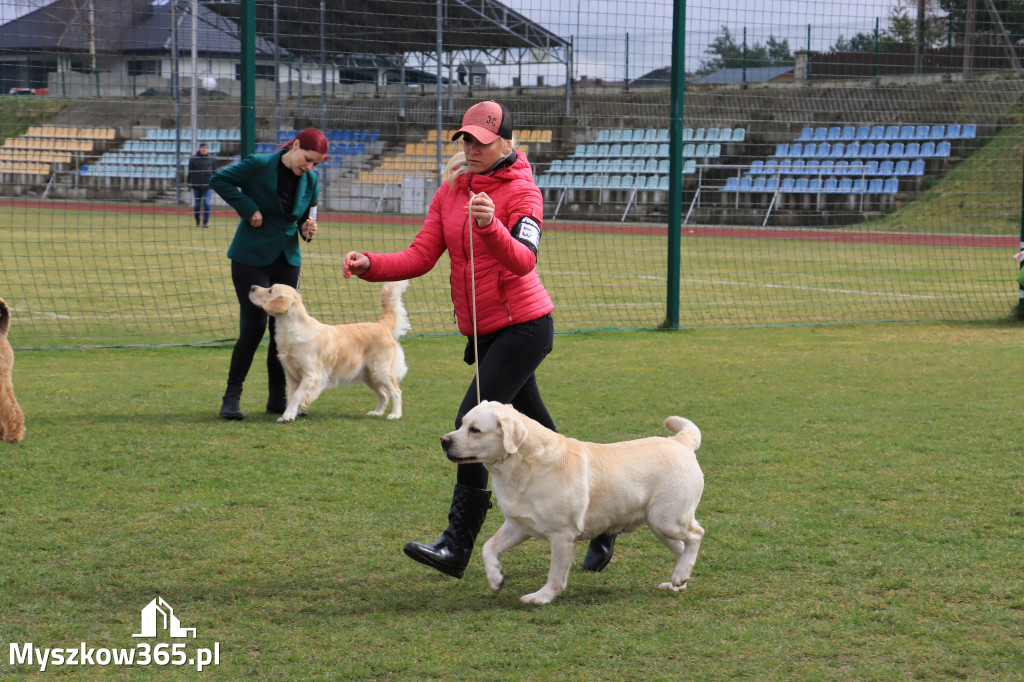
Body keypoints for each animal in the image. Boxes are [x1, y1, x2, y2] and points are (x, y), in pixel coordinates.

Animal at [247, 280, 407, 419]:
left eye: (270, 290)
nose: (252, 286)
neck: (291, 330)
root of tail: (382, 325)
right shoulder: (291, 374)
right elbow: (291, 396)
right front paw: (289, 414)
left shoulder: (311, 375)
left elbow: (297, 395)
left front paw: (287, 416)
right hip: (368, 375)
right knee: (384, 394)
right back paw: (377, 412)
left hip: (380, 370)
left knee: (396, 392)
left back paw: (395, 414)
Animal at [444, 401, 708, 602]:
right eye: (462, 423)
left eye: (475, 430)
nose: (444, 440)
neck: (523, 465)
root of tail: (680, 442)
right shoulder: (519, 525)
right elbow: (488, 547)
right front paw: (496, 578)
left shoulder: (563, 535)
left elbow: (555, 573)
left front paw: (541, 597)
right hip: (659, 525)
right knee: (682, 548)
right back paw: (678, 581)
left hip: (667, 519)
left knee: (696, 535)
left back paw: (679, 575)